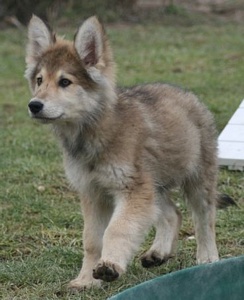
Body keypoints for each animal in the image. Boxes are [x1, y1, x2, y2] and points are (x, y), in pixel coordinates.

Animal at [26, 15, 223, 290]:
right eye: (39, 80)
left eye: (65, 82)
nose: (34, 105)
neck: (95, 131)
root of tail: (186, 95)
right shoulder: (94, 194)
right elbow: (91, 240)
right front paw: (86, 280)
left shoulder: (132, 191)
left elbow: (118, 229)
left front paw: (109, 265)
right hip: (154, 185)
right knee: (173, 214)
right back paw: (158, 253)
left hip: (197, 180)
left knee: (204, 219)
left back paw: (207, 258)